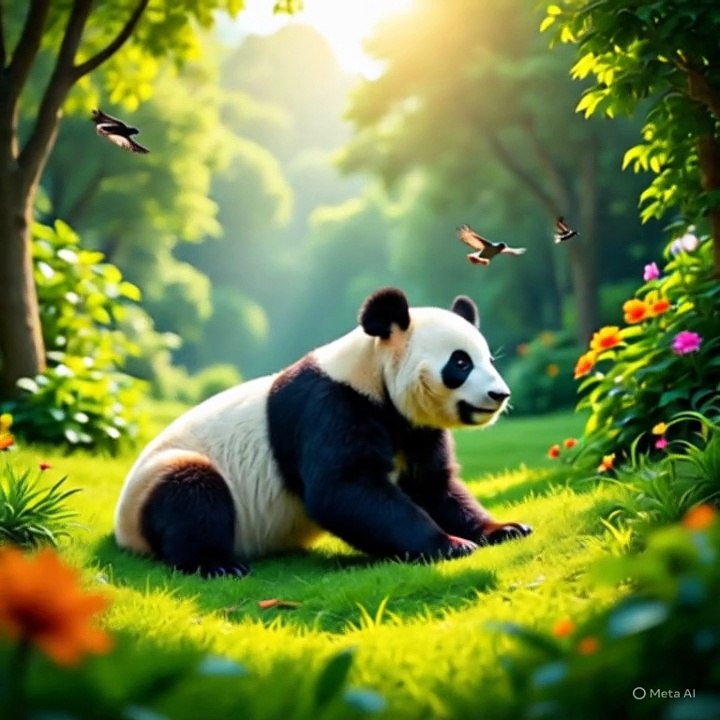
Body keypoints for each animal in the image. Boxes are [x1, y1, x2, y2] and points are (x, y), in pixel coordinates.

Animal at [114, 287, 531, 577]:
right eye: (460, 363)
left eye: (488, 360)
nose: (500, 395)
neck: (373, 374)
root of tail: (121, 528)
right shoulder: (330, 407)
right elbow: (343, 489)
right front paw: (450, 545)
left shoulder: (416, 428)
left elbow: (433, 487)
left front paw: (504, 528)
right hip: (164, 476)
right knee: (191, 496)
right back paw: (216, 564)